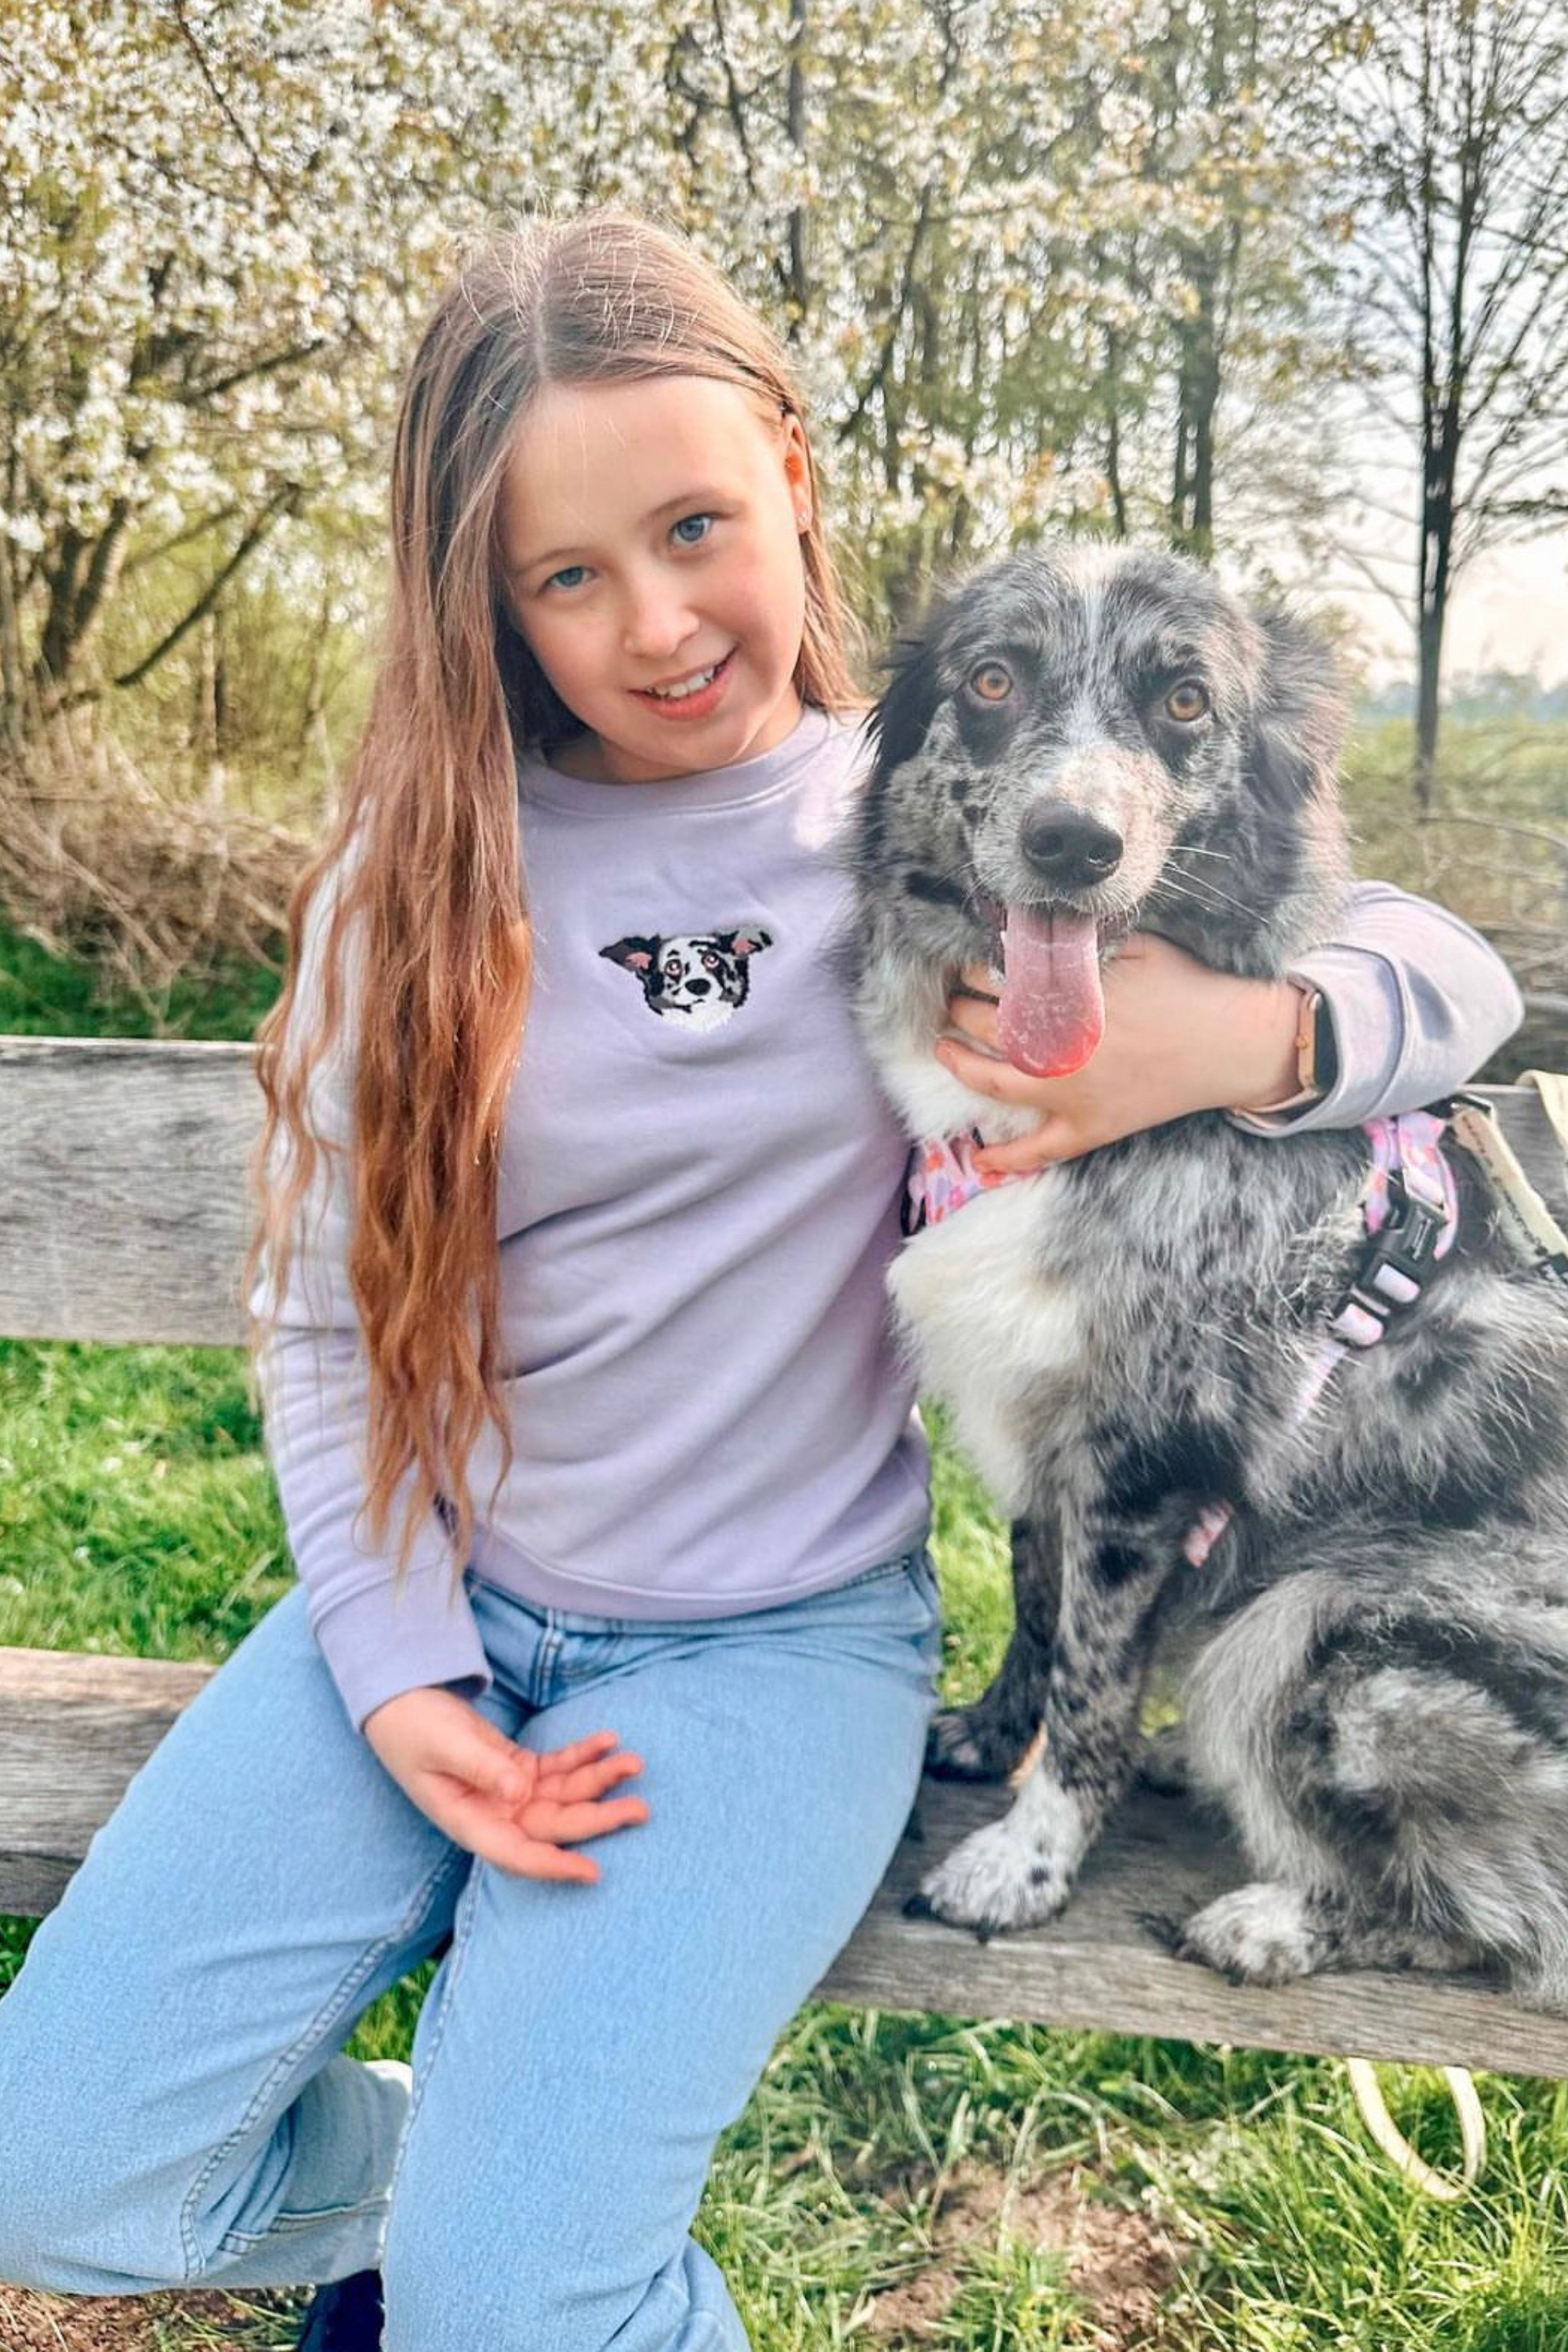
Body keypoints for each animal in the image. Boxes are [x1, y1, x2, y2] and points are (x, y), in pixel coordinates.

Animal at [851, 546, 1568, 2004]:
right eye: (992, 678)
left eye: (1183, 701)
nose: (1073, 843)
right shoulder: (1047, 1426)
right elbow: (1040, 1606)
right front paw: (986, 1734)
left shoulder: (1146, 1456)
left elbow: (1093, 1678)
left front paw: (1025, 1866)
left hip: (1323, 1624)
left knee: (1515, 1922)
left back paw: (1274, 1920)